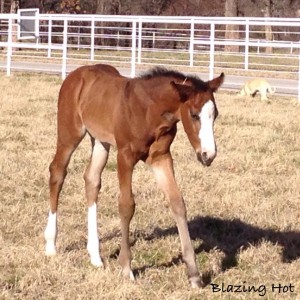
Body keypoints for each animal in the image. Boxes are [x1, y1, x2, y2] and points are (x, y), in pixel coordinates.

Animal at [44, 63, 223, 288]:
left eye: (215, 115)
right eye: (193, 115)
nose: (209, 155)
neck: (149, 111)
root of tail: (77, 74)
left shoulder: (161, 158)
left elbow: (177, 203)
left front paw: (194, 274)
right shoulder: (125, 156)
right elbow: (126, 206)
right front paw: (126, 268)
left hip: (101, 141)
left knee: (91, 180)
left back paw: (95, 256)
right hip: (70, 134)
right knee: (57, 172)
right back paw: (51, 245)